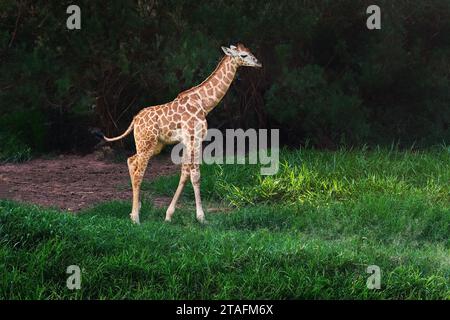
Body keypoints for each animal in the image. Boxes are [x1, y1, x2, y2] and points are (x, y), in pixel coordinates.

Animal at [101, 43, 262, 225]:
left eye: (249, 52)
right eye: (243, 55)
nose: (258, 63)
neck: (204, 104)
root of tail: (135, 120)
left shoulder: (188, 140)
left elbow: (185, 173)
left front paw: (168, 215)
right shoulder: (195, 138)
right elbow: (195, 174)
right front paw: (202, 218)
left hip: (154, 145)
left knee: (131, 160)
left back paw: (136, 209)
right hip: (146, 143)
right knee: (138, 173)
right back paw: (136, 218)